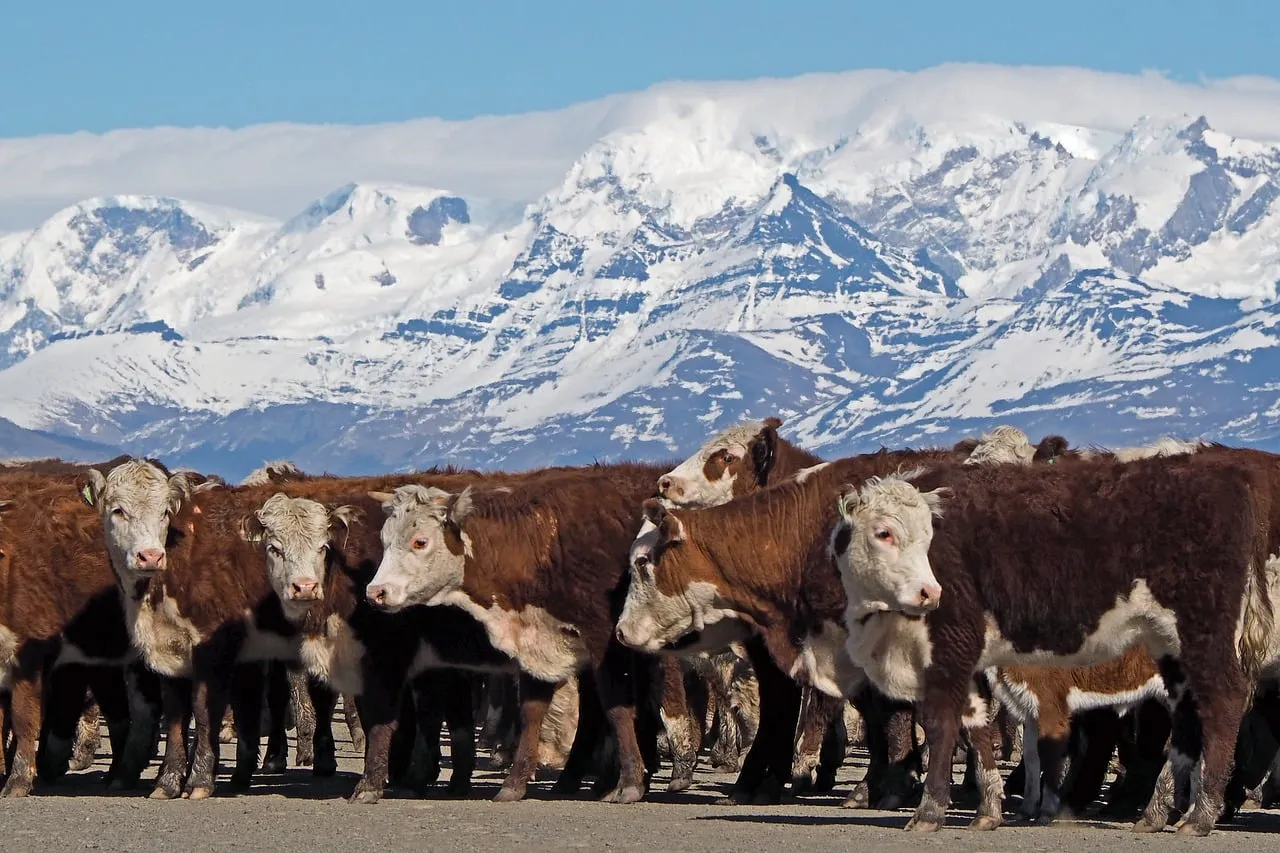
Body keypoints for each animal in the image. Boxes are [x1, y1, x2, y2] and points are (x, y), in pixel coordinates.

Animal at [366, 464, 668, 804]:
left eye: (420, 542)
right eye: (384, 540)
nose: (376, 592)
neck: (543, 540)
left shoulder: (606, 642)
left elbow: (617, 708)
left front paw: (630, 783)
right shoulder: (539, 642)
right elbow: (532, 713)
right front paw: (514, 782)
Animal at [829, 454, 1273, 835]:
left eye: (928, 535)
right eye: (883, 532)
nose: (929, 593)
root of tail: (1225, 478)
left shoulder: (951, 645)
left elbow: (941, 724)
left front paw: (929, 811)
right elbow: (976, 727)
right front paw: (989, 811)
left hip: (1204, 633)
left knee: (1223, 702)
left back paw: (1200, 815)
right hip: (1170, 647)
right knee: (1187, 716)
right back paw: (1156, 813)